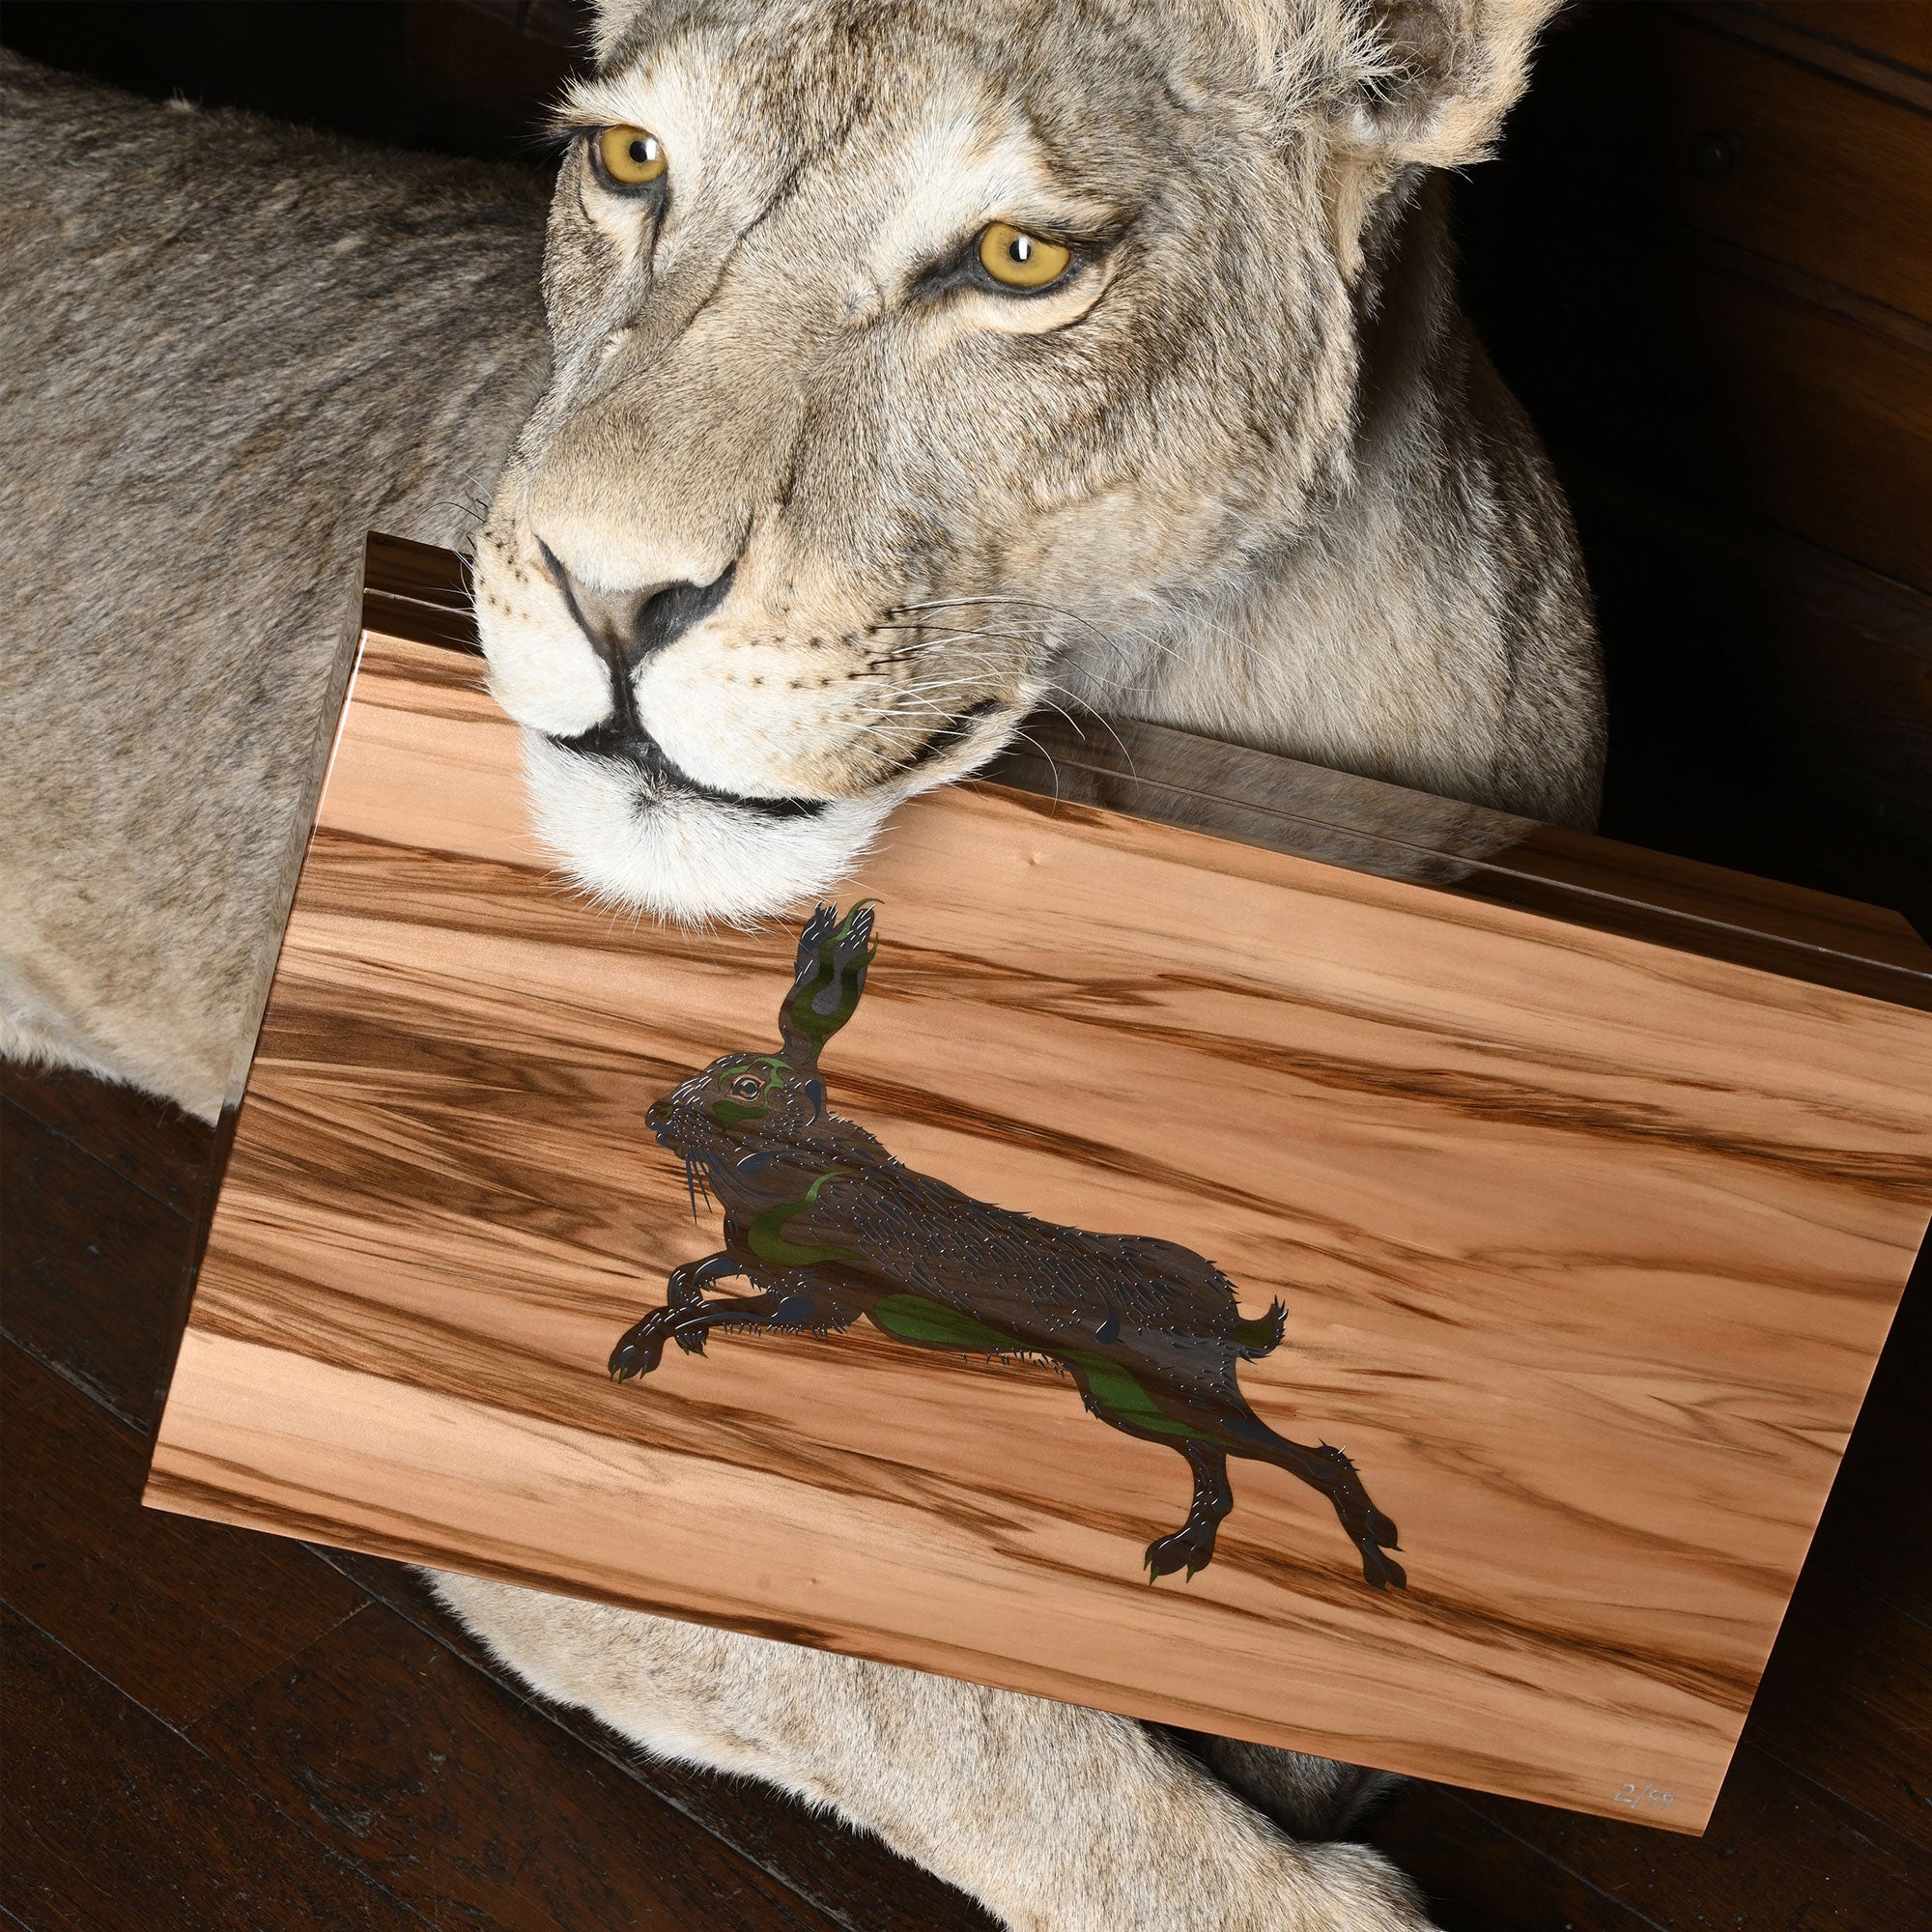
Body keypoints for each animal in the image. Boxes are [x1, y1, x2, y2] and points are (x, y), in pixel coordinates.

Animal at [612, 903, 1406, 1590]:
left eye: (747, 1085)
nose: (655, 1115)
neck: (791, 1169)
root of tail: (1231, 1317)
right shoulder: (762, 1271)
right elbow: (689, 1275)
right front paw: (667, 1338)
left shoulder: (817, 1304)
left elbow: (703, 1306)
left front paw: (637, 1354)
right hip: (1127, 1398)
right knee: (1215, 1467)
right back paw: (1183, 1554)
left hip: (1170, 1390)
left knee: (1306, 1458)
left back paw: (1381, 1557)